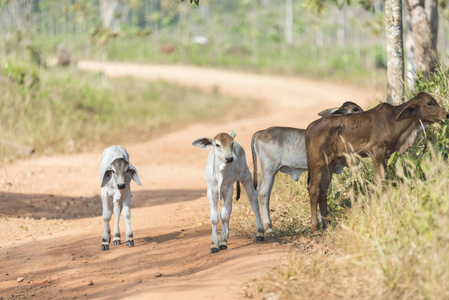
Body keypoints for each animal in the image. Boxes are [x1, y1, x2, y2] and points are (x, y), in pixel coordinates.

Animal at [304, 91, 448, 232]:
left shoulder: (385, 157)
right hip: (317, 164)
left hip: (329, 165)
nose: (446, 114)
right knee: (313, 190)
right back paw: (315, 227)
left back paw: (327, 225)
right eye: (430, 103)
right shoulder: (377, 154)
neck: (395, 121)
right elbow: (378, 184)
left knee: (323, 192)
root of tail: (310, 127)